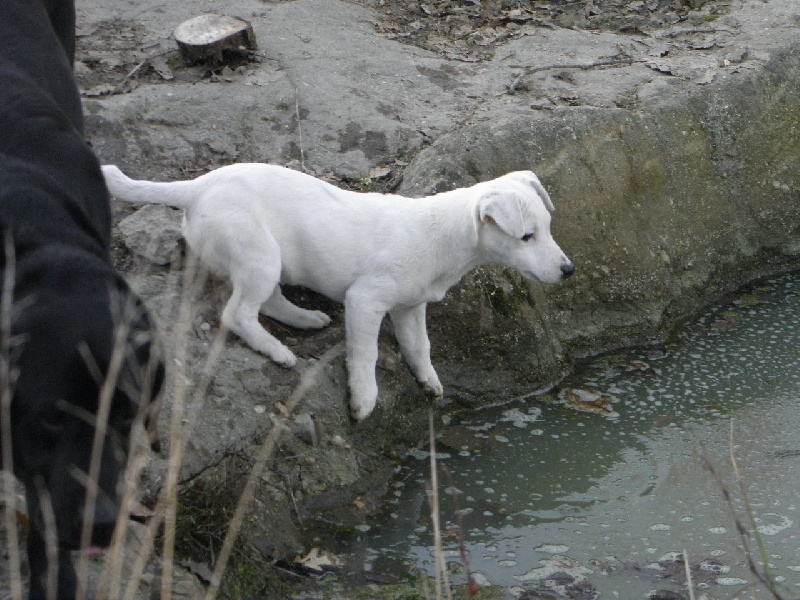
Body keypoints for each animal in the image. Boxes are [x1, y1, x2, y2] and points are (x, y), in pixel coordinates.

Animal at [103, 162, 572, 420]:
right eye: (526, 236)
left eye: (548, 228)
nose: (568, 270)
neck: (442, 235)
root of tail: (196, 187)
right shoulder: (365, 301)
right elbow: (365, 355)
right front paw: (364, 399)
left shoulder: (410, 307)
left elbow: (419, 347)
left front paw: (431, 383)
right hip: (258, 254)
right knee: (237, 313)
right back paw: (278, 351)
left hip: (272, 260)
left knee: (268, 300)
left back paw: (305, 318)